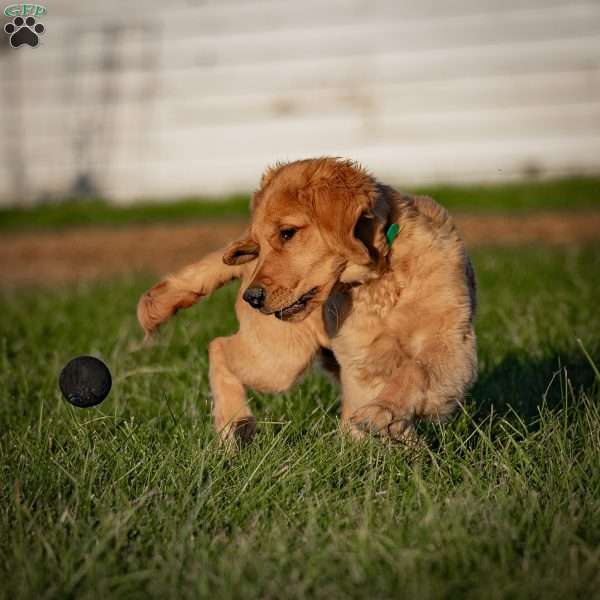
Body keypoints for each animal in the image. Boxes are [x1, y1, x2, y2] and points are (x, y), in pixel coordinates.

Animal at [137, 158, 478, 446]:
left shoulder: (452, 343)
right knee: (218, 346)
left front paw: (385, 417)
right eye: (262, 244)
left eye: (287, 233)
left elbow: (415, 371)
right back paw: (235, 424)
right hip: (279, 358)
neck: (380, 280)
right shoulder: (363, 365)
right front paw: (383, 419)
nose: (252, 298)